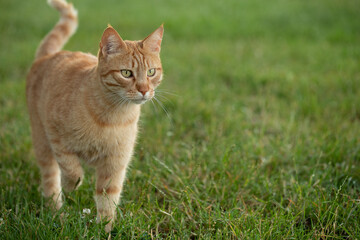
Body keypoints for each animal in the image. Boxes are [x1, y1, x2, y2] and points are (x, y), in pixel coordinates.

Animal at [26, 0, 164, 232]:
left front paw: (104, 230)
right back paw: (57, 213)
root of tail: (48, 55)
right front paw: (71, 186)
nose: (144, 90)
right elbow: (71, 170)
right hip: (41, 140)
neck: (112, 116)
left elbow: (108, 199)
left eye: (151, 72)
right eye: (126, 73)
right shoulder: (56, 136)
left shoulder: (115, 163)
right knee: (50, 177)